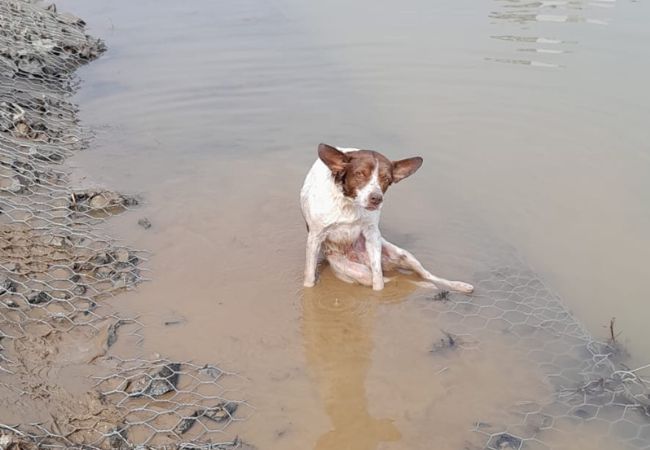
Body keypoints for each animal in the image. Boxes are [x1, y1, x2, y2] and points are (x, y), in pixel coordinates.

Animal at [298, 142, 470, 294]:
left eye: (386, 179)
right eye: (359, 174)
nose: (376, 198)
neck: (349, 203)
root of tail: (362, 259)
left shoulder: (372, 234)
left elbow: (378, 281)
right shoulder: (315, 236)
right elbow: (309, 275)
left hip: (403, 256)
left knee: (424, 275)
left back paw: (458, 286)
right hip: (358, 272)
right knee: (396, 280)